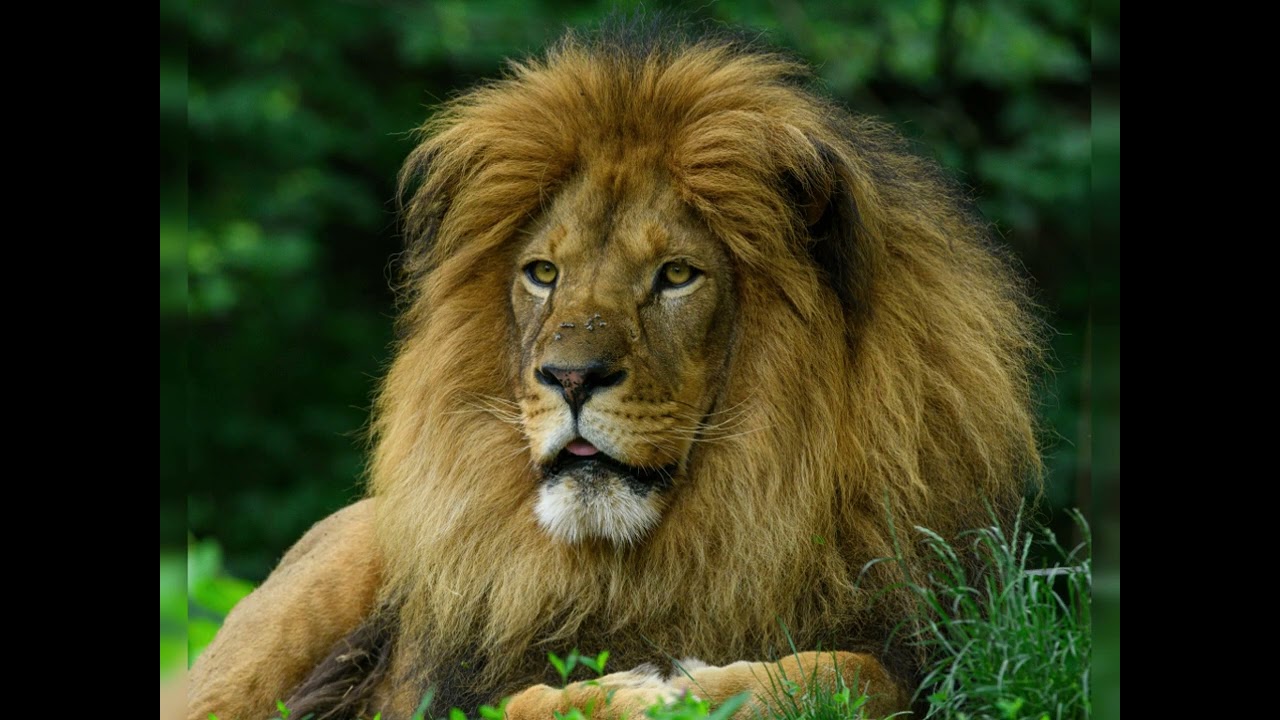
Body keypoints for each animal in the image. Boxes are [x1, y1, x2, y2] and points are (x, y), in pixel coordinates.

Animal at [188, 21, 1041, 720]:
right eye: (542, 273)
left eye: (676, 275)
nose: (569, 377)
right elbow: (523, 703)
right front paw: (635, 692)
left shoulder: (922, 646)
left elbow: (852, 673)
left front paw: (695, 688)